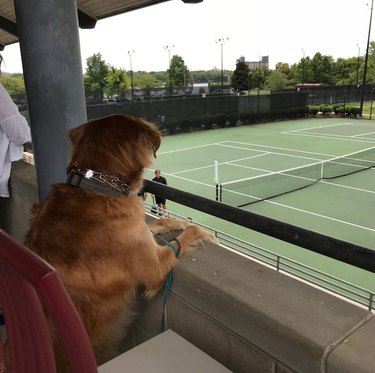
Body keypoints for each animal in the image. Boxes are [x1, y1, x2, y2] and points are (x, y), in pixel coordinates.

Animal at [24, 114, 217, 370]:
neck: (97, 186)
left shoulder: (137, 232)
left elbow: (157, 223)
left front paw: (177, 221)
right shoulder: (155, 266)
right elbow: (188, 235)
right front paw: (206, 234)